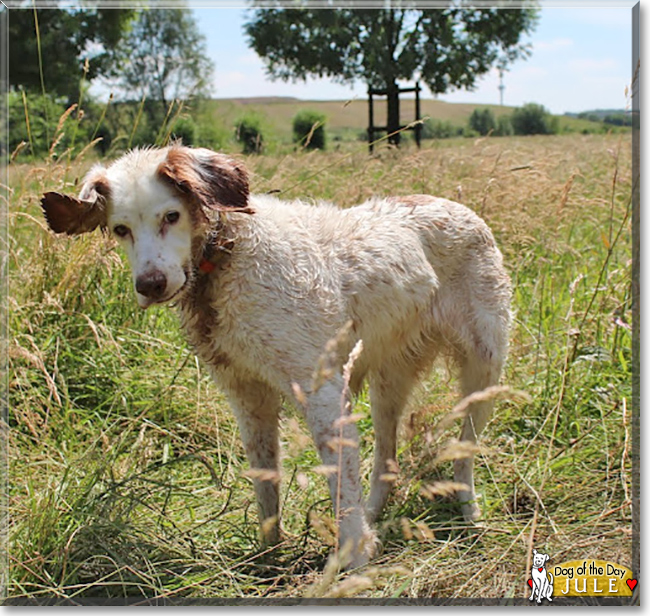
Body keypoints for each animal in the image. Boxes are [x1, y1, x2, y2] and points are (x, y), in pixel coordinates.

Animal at [40, 144, 508, 568]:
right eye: (120, 229)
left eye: (171, 216)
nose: (150, 284)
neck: (227, 256)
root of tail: (456, 205)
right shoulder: (249, 397)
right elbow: (267, 486)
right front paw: (268, 560)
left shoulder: (323, 394)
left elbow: (341, 490)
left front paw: (353, 562)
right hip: (388, 384)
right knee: (385, 460)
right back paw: (377, 515)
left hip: (483, 371)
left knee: (464, 452)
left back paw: (468, 511)